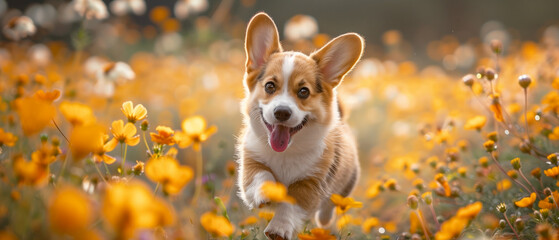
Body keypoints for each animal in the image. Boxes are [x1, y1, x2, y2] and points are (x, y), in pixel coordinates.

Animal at [236, 13, 364, 240]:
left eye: (304, 91)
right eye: (270, 86)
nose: (282, 112)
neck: (287, 152)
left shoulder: (311, 183)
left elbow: (291, 204)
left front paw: (279, 228)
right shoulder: (250, 165)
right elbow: (263, 176)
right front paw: (270, 192)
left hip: (345, 184)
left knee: (330, 205)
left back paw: (324, 220)